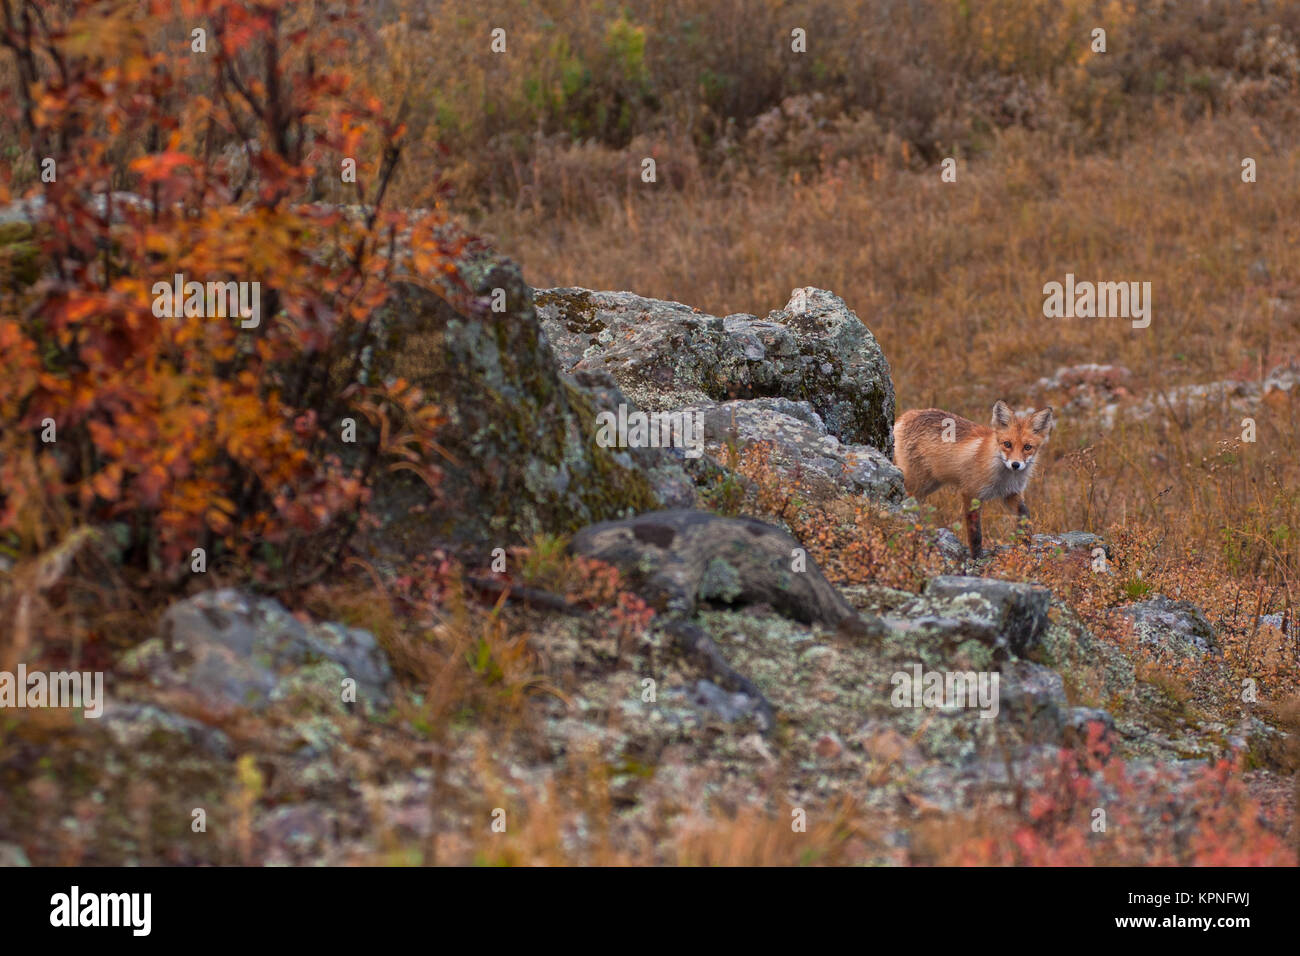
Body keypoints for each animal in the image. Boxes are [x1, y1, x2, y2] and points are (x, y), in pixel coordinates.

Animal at [893, 401, 1055, 559]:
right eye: (1007, 444)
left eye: (1027, 447)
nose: (1015, 464)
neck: (1004, 478)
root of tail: (907, 415)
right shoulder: (971, 493)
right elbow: (975, 533)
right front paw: (977, 557)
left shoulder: (1011, 493)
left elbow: (1025, 515)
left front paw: (1025, 543)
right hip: (916, 482)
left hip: (929, 485)